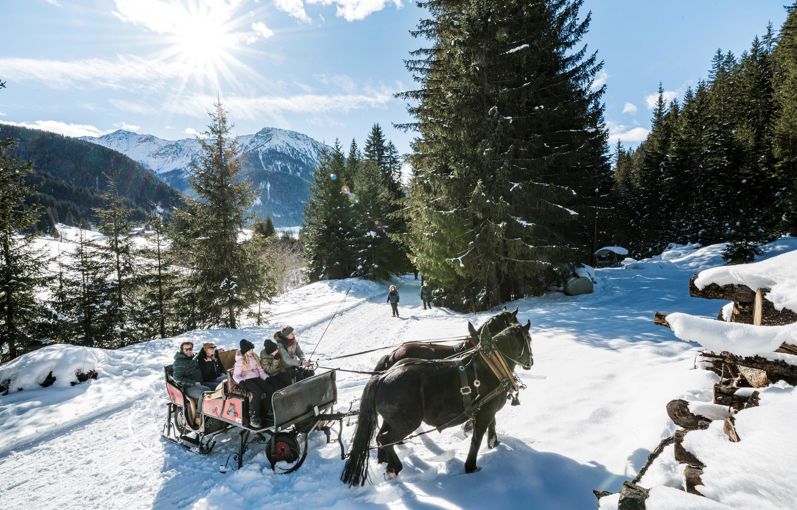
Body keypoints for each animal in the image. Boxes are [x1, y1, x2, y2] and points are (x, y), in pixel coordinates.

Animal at [338, 322, 532, 486]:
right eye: (529, 340)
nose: (531, 361)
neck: (491, 365)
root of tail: (382, 377)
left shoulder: (486, 409)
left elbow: (492, 425)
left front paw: (493, 444)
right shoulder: (486, 411)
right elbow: (477, 438)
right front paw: (471, 467)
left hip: (392, 420)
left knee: (380, 437)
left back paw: (386, 462)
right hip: (406, 422)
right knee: (385, 439)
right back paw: (395, 467)